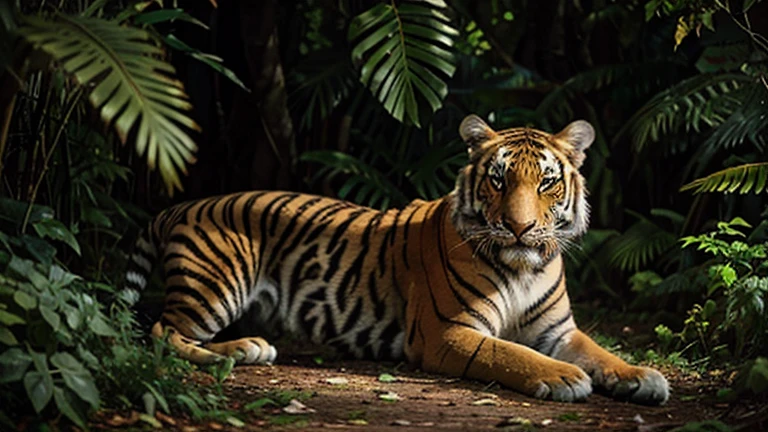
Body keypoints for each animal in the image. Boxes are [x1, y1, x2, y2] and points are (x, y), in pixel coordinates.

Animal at [123, 115, 668, 404]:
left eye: (547, 182)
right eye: (498, 180)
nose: (519, 227)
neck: (523, 266)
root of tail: (182, 204)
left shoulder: (559, 332)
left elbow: (602, 352)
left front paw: (643, 376)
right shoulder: (448, 332)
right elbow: (509, 353)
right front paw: (563, 378)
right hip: (218, 283)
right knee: (161, 333)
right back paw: (236, 354)